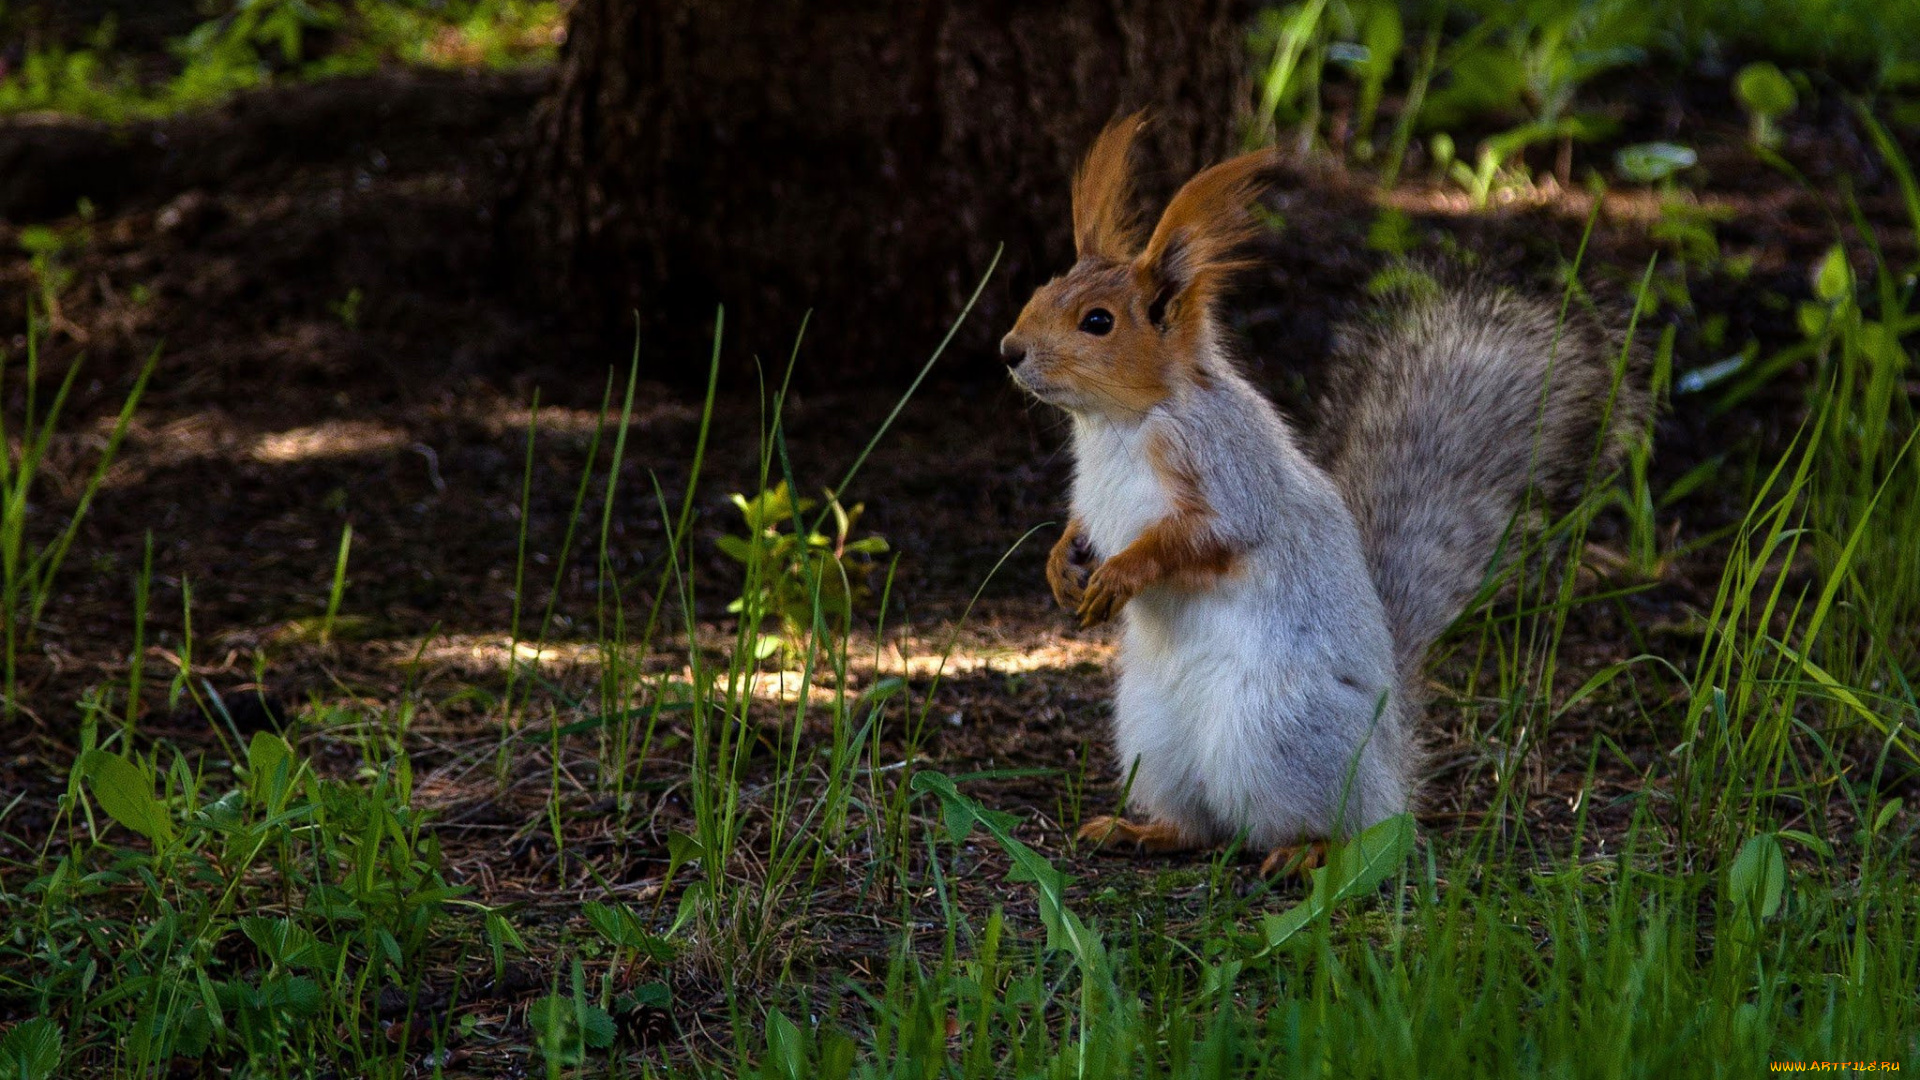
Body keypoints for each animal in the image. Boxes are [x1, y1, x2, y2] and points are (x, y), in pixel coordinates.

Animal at [998, 115, 1643, 876]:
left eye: (1098, 321)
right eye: (1043, 291)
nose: (1009, 350)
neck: (1121, 424)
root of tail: (1391, 753)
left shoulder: (1227, 473)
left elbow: (1202, 538)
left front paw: (1121, 573)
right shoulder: (1094, 490)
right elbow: (1079, 524)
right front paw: (1060, 565)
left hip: (1279, 731)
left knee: (1344, 825)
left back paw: (1306, 853)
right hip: (1152, 738)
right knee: (1204, 824)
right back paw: (1144, 831)